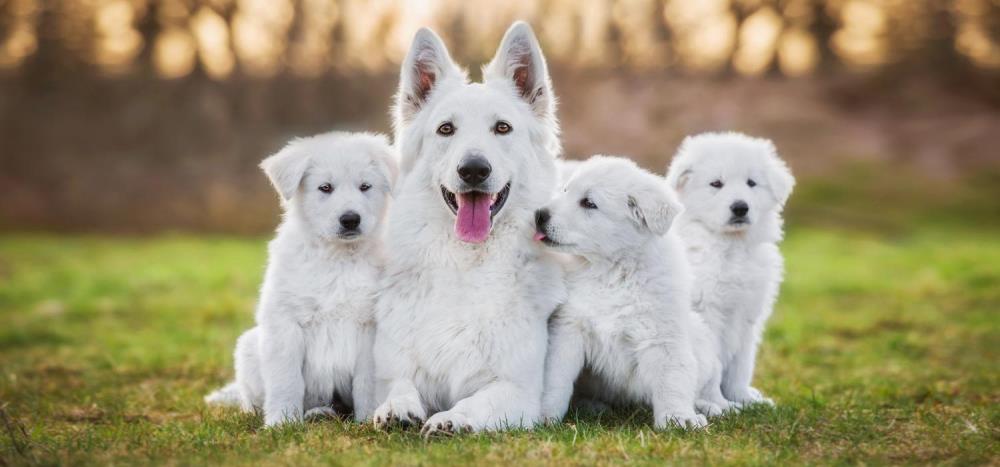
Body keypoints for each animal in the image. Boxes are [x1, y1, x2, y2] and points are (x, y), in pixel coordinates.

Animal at [206, 133, 398, 428]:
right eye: (325, 188)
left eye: (365, 186)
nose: (350, 219)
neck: (337, 258)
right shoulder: (285, 322)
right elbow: (286, 380)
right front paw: (281, 423)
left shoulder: (370, 326)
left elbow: (366, 381)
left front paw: (367, 420)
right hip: (249, 347)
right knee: (250, 397)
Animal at [372, 23, 568, 436]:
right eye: (446, 129)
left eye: (502, 128)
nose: (474, 169)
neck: (466, 262)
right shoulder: (387, 374)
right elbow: (399, 385)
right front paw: (397, 408)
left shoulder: (517, 391)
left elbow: (479, 401)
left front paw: (452, 418)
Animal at [540, 157, 712, 432]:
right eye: (565, 190)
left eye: (589, 203)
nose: (538, 215)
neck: (612, 272)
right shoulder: (568, 328)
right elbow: (556, 376)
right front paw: (545, 416)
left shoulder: (663, 336)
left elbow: (672, 379)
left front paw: (678, 418)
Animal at [664, 131, 796, 406]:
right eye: (716, 184)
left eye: (751, 183)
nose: (740, 207)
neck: (730, 246)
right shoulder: (708, 315)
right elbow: (713, 366)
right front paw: (721, 404)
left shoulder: (748, 317)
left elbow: (741, 365)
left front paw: (745, 400)